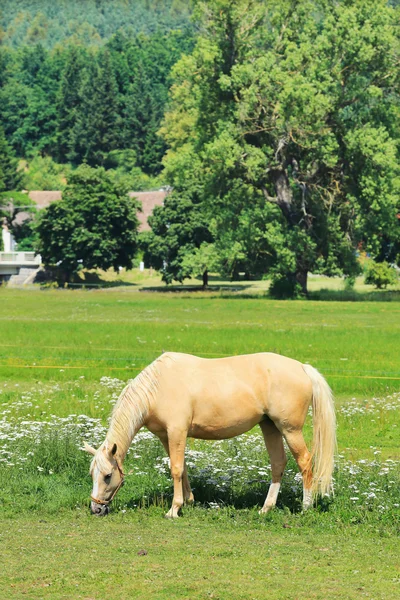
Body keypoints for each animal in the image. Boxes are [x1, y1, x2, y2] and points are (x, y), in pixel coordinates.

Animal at [83, 352, 336, 516]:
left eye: (108, 476)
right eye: (92, 474)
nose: (96, 508)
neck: (158, 386)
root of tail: (302, 367)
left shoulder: (177, 431)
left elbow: (176, 469)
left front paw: (174, 509)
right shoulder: (166, 436)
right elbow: (181, 467)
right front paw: (188, 501)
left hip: (290, 430)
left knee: (305, 462)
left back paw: (305, 507)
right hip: (270, 427)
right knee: (278, 464)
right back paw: (266, 508)